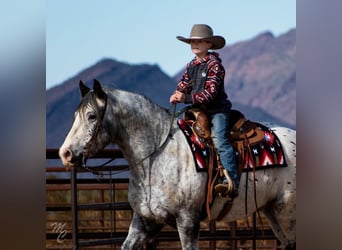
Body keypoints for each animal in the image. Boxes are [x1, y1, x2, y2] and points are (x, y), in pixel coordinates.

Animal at [58, 80, 294, 250]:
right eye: (75, 115)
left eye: (91, 116)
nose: (65, 153)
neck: (155, 156)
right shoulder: (144, 221)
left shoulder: (188, 221)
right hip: (273, 212)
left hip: (287, 213)